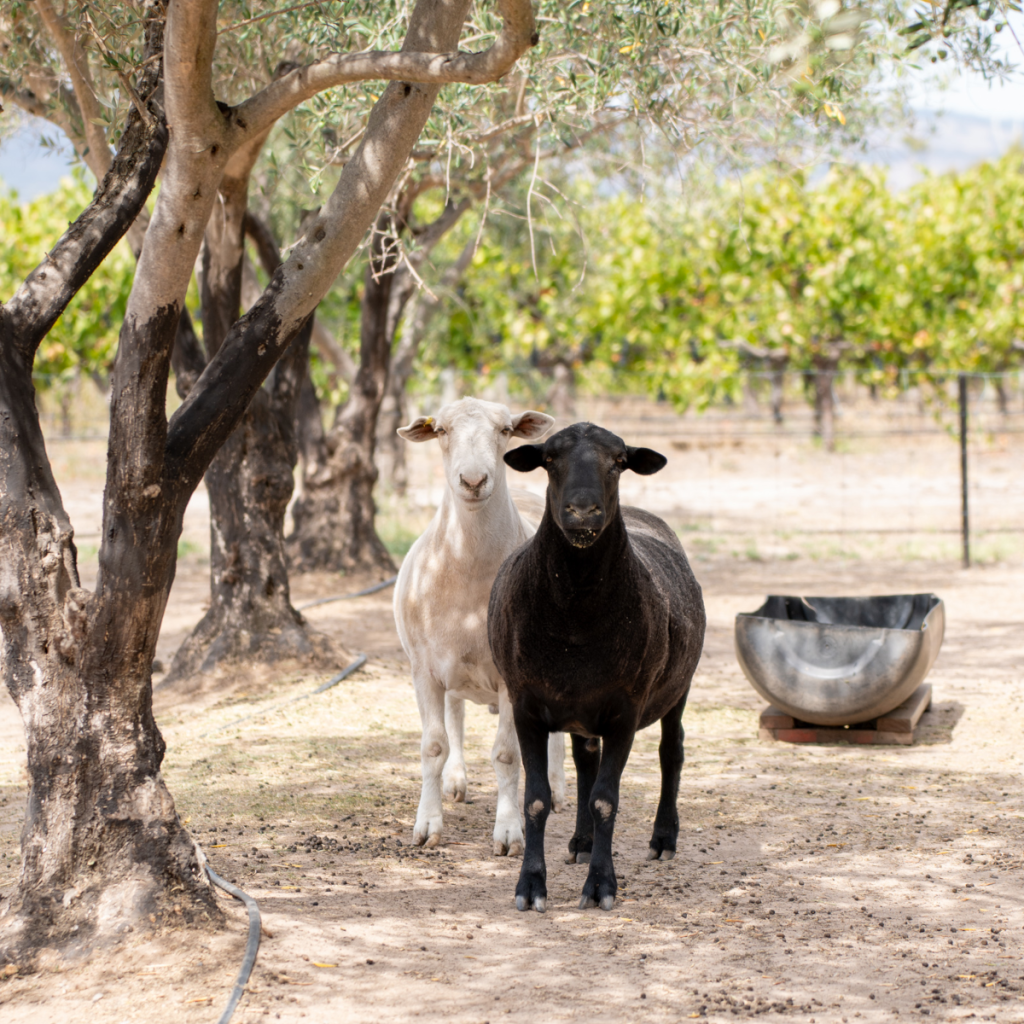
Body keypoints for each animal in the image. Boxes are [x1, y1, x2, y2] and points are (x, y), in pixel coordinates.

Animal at [393, 398, 566, 855]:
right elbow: (433, 745)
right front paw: (427, 826)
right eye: (441, 430)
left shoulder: (514, 677)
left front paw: (508, 832)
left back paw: (557, 788)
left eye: (505, 430)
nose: (473, 480)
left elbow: (507, 754)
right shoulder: (424, 669)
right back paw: (456, 781)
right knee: (455, 716)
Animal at [488, 421, 706, 911]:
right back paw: (583, 842)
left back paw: (663, 838)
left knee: (672, 752)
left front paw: (602, 885)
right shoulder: (526, 706)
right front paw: (530, 885)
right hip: (580, 710)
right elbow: (536, 801)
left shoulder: (626, 708)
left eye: (619, 462)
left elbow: (606, 800)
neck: (575, 618)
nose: (583, 512)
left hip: (677, 688)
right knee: (586, 759)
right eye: (550, 459)